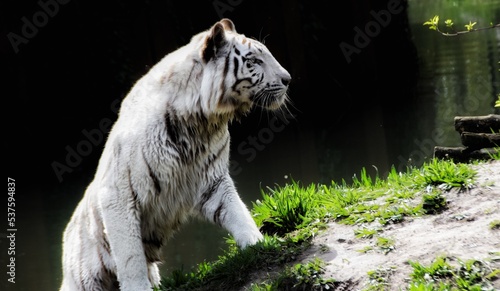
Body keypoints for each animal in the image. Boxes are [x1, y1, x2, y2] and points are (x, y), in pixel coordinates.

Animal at [60, 18, 292, 291]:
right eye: (254, 61)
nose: (288, 79)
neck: (200, 122)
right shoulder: (118, 192)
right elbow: (130, 256)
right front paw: (138, 287)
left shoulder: (212, 179)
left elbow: (237, 212)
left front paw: (258, 244)